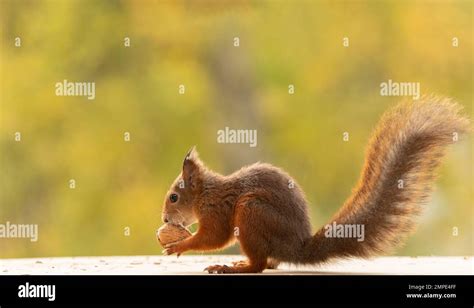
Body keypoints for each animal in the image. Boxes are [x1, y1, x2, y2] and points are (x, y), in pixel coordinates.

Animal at [160, 96, 470, 272]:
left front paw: (179, 245)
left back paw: (234, 267)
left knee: (259, 265)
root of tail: (297, 248)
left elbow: (215, 238)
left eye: (174, 197)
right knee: (269, 262)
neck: (206, 193)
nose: (164, 219)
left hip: (251, 211)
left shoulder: (218, 210)